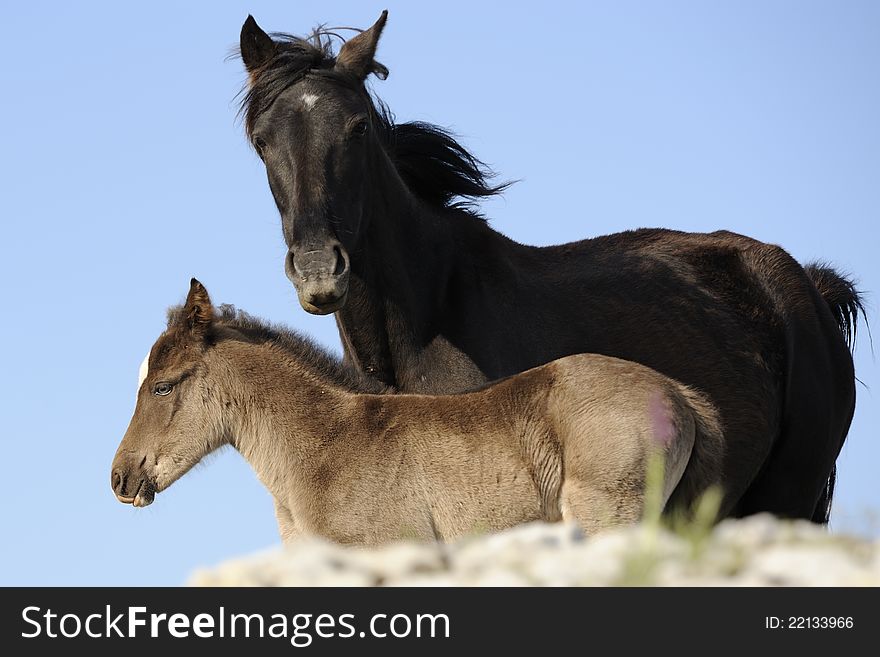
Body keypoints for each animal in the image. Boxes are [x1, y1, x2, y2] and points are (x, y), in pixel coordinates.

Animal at [235, 11, 860, 524]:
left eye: (358, 126)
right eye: (262, 141)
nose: (319, 270)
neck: (425, 325)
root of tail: (808, 286)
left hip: (787, 495)